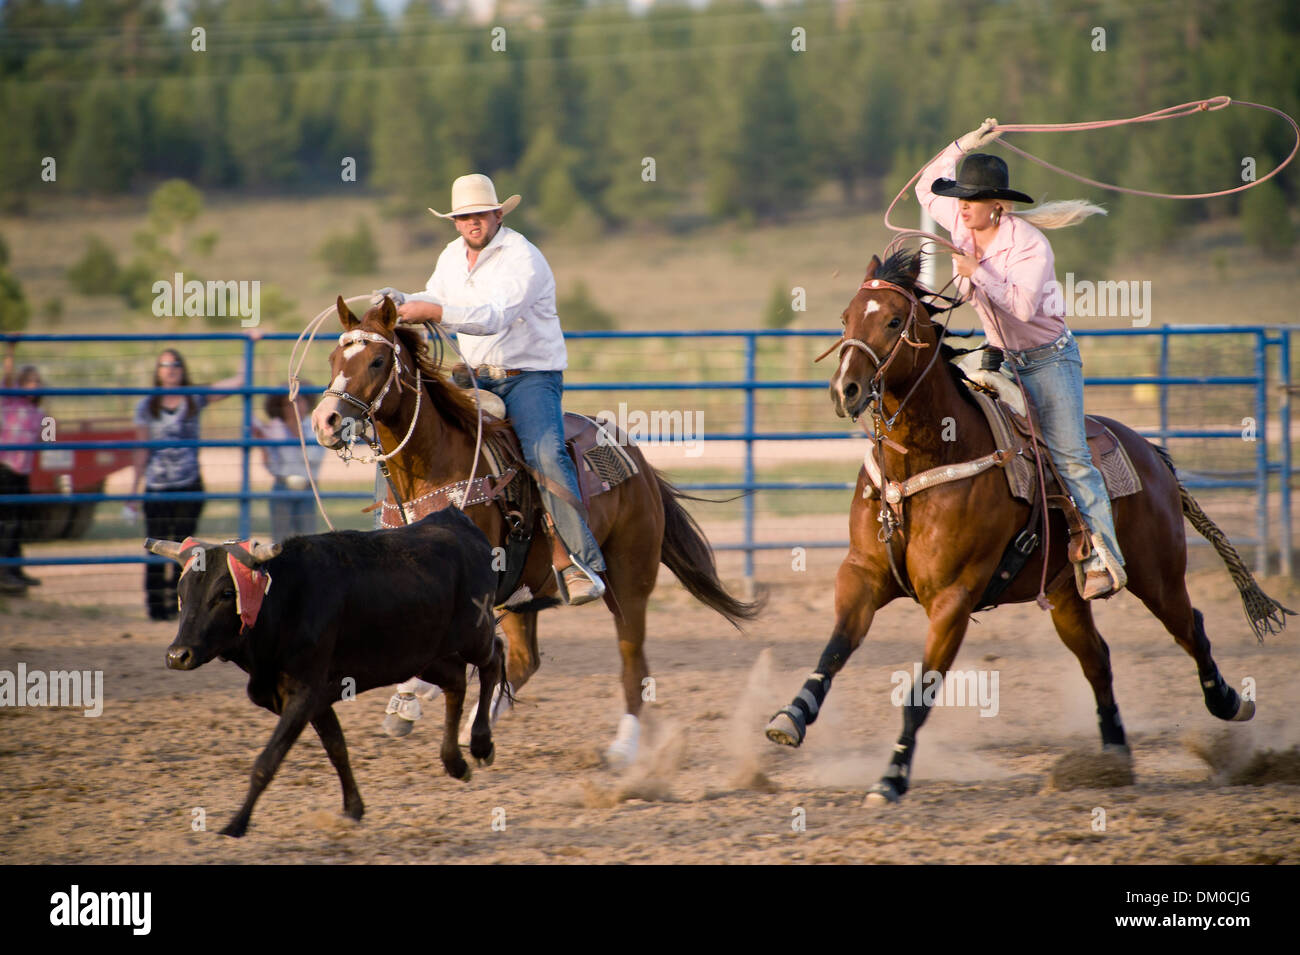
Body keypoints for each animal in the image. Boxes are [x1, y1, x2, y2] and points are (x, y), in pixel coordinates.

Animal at [312, 297, 759, 769]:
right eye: (334, 358)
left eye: (377, 361)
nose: (326, 420)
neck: (433, 469)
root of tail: (635, 459)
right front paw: (408, 702)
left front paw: (414, 696)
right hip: (522, 592)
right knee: (525, 660)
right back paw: (473, 727)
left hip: (629, 580)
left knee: (632, 661)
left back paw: (623, 747)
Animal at [764, 250, 1284, 805]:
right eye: (846, 318)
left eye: (893, 320)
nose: (846, 389)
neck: (926, 460)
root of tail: (1153, 454)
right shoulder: (862, 575)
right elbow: (836, 648)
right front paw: (790, 717)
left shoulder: (953, 598)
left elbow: (920, 693)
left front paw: (892, 777)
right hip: (1066, 595)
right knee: (1098, 659)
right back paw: (1113, 758)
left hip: (1158, 577)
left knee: (1191, 628)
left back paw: (1228, 702)